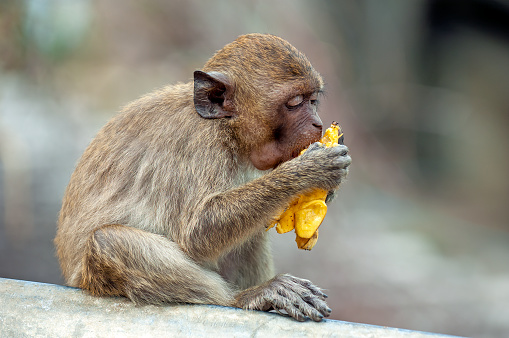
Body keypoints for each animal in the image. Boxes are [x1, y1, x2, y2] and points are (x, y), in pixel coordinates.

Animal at [54, 33, 350, 322]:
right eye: (295, 103)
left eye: (313, 100)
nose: (318, 124)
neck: (225, 126)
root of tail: (74, 280)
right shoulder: (199, 143)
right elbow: (197, 231)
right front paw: (308, 170)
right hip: (93, 279)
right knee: (109, 242)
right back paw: (244, 297)